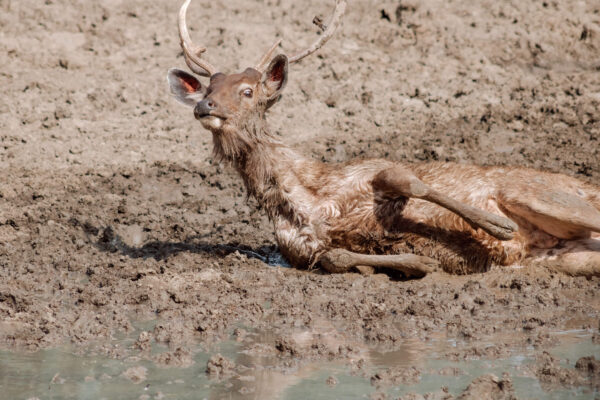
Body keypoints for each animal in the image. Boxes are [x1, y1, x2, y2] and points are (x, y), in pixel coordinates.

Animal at [166, 0, 600, 278]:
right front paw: (418, 263)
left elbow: (409, 180)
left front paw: (498, 226)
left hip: (539, 192)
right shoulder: (300, 250)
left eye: (247, 91)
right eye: (211, 86)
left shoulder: (372, 167)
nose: (204, 106)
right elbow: (337, 258)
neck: (304, 196)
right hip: (567, 257)